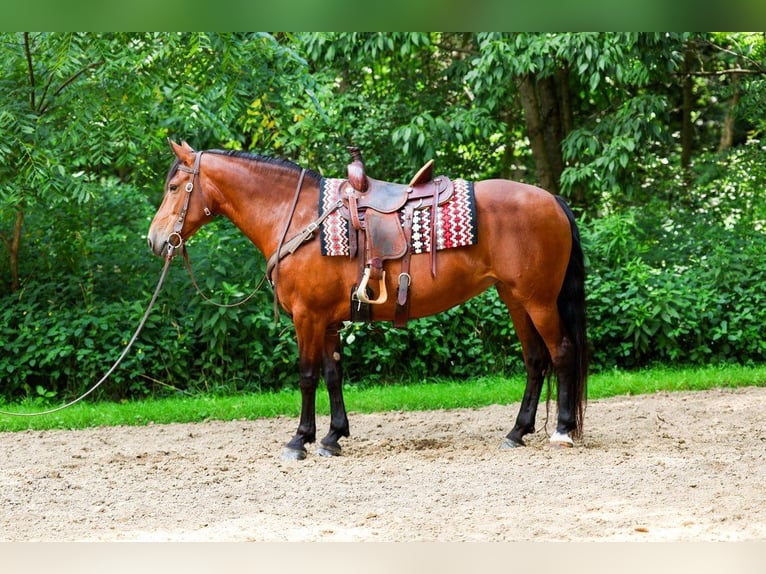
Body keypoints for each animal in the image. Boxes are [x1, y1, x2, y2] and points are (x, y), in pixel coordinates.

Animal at [147, 140, 588, 460]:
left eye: (173, 187)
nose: (154, 240)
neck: (297, 217)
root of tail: (553, 200)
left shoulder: (307, 317)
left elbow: (307, 376)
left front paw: (299, 440)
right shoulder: (327, 320)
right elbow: (332, 374)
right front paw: (332, 437)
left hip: (538, 301)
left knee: (562, 352)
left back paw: (563, 430)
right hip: (515, 299)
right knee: (536, 360)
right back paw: (517, 432)